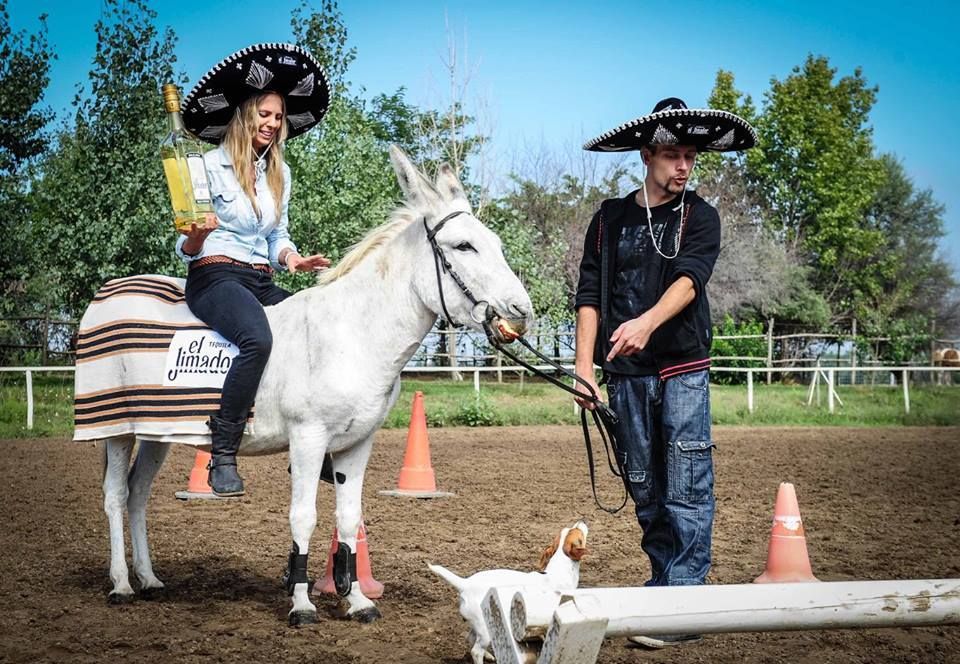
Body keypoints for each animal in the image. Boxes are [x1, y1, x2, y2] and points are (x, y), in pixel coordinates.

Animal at [432, 524, 588, 664]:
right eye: (579, 534)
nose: (582, 520)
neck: (559, 571)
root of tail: (465, 584)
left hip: (478, 625)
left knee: (470, 639)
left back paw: (488, 655)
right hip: (484, 629)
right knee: (476, 651)